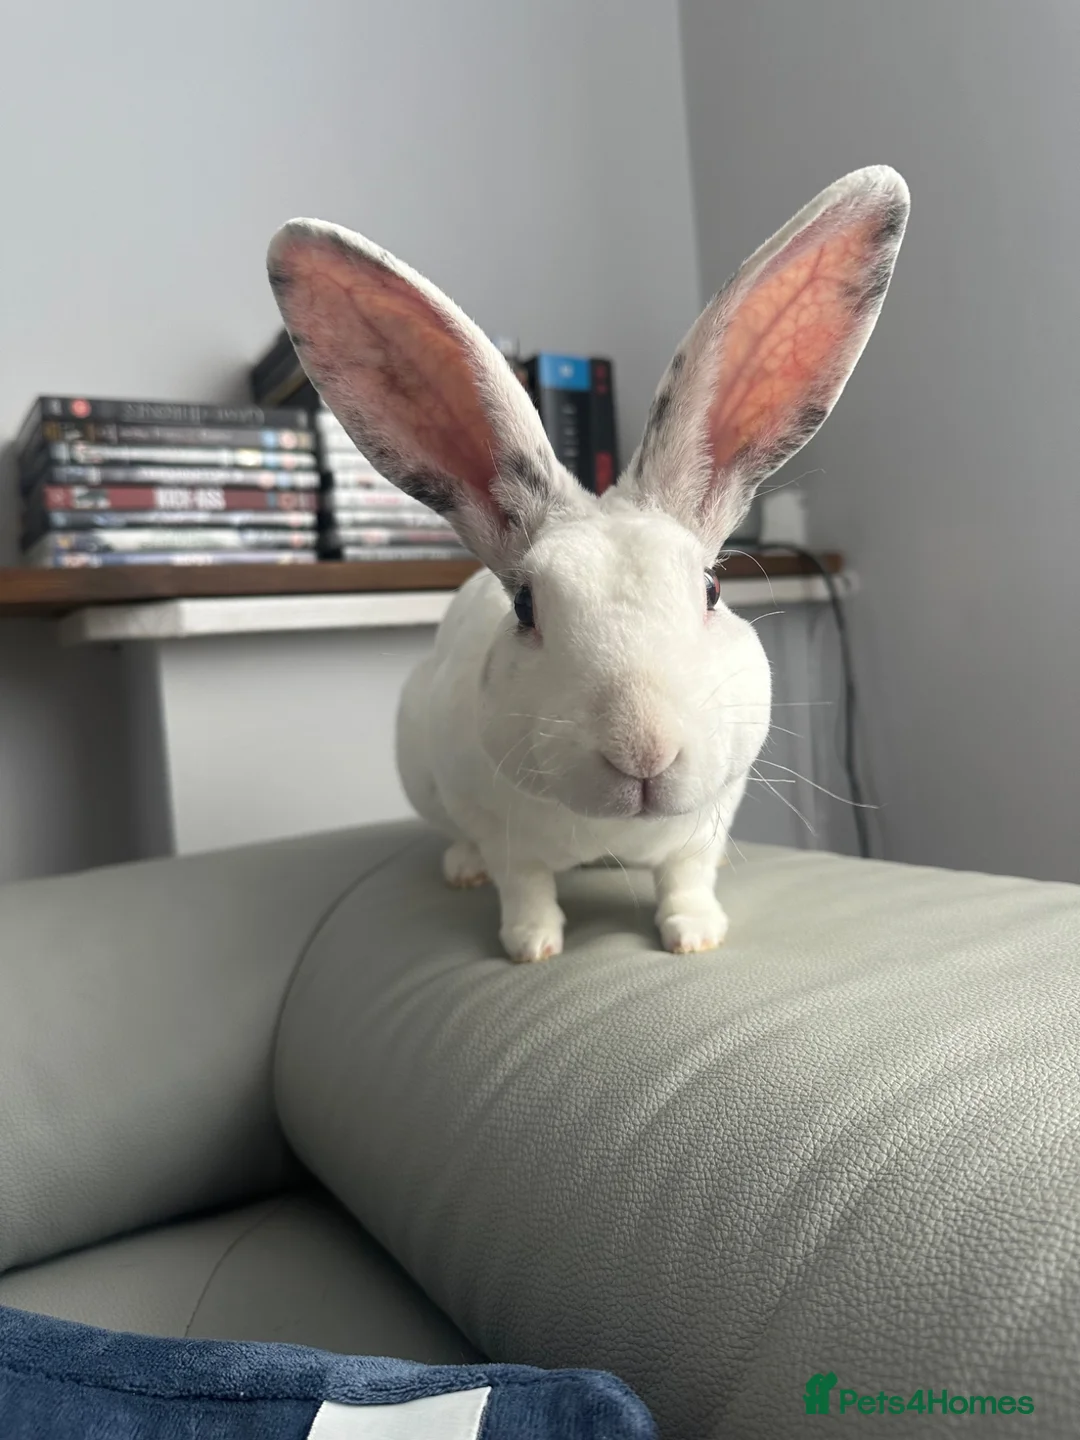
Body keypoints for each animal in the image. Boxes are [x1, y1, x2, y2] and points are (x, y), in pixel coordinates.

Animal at [267, 165, 908, 962]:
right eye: (525, 607)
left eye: (711, 589)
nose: (644, 751)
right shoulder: (504, 834)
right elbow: (525, 887)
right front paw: (530, 948)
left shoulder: (706, 823)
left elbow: (687, 876)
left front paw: (696, 937)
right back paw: (462, 870)